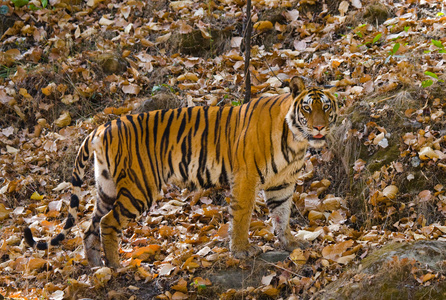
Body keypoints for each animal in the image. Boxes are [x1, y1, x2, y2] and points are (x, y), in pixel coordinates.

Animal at [24, 77, 336, 268]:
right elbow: (242, 216)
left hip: (107, 187)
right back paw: (116, 266)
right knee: (108, 223)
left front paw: (291, 243)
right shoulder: (246, 179)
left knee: (90, 226)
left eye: (326, 107)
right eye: (307, 109)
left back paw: (97, 267)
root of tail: (102, 126)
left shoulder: (282, 183)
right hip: (139, 188)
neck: (296, 142)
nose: (320, 127)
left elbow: (282, 215)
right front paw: (242, 250)